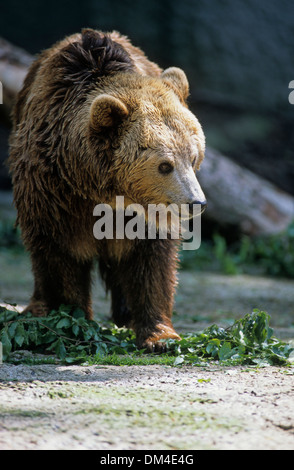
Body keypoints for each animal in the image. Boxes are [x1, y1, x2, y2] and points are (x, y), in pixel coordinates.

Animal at [9, 29, 207, 350]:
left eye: (193, 157)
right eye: (165, 165)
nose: (196, 202)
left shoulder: (147, 214)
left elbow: (151, 262)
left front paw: (160, 335)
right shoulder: (54, 193)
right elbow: (61, 252)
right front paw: (72, 322)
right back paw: (37, 309)